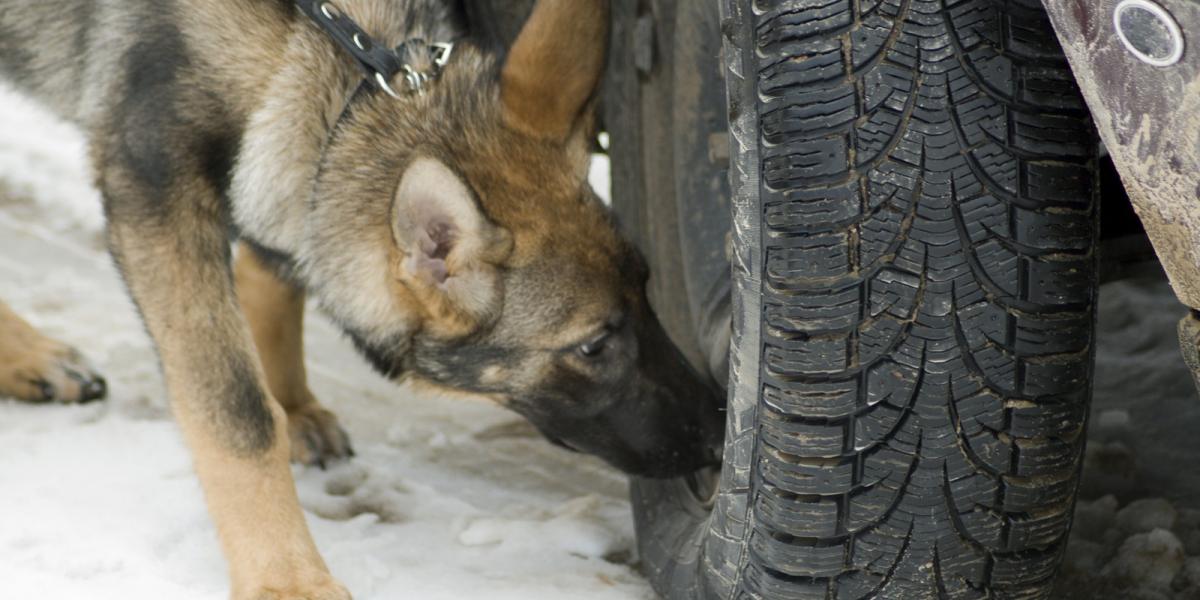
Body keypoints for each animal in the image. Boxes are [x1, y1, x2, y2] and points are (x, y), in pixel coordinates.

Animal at [0, 0, 720, 595]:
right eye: (593, 346)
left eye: (650, 293)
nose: (719, 434)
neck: (336, 53)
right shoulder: (155, 199)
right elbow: (237, 415)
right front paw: (286, 579)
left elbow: (276, 275)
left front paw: (293, 404)